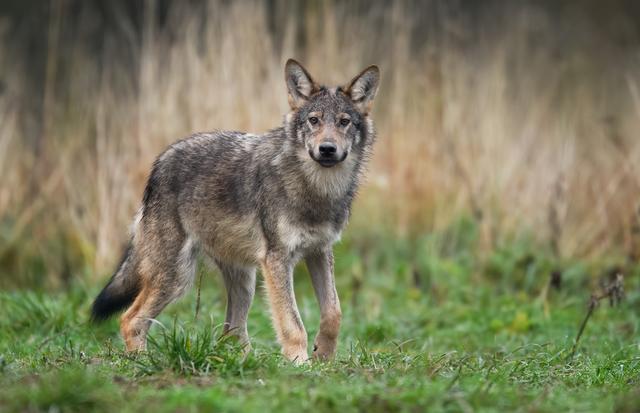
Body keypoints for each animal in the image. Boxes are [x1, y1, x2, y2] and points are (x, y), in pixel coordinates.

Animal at [91, 59, 380, 363]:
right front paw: (300, 363)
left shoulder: (320, 251)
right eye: (314, 120)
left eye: (344, 122)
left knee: (231, 332)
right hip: (177, 277)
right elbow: (292, 323)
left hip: (244, 281)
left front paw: (323, 355)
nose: (327, 149)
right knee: (130, 319)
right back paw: (143, 362)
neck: (316, 189)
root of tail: (159, 163)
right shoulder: (277, 260)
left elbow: (334, 312)